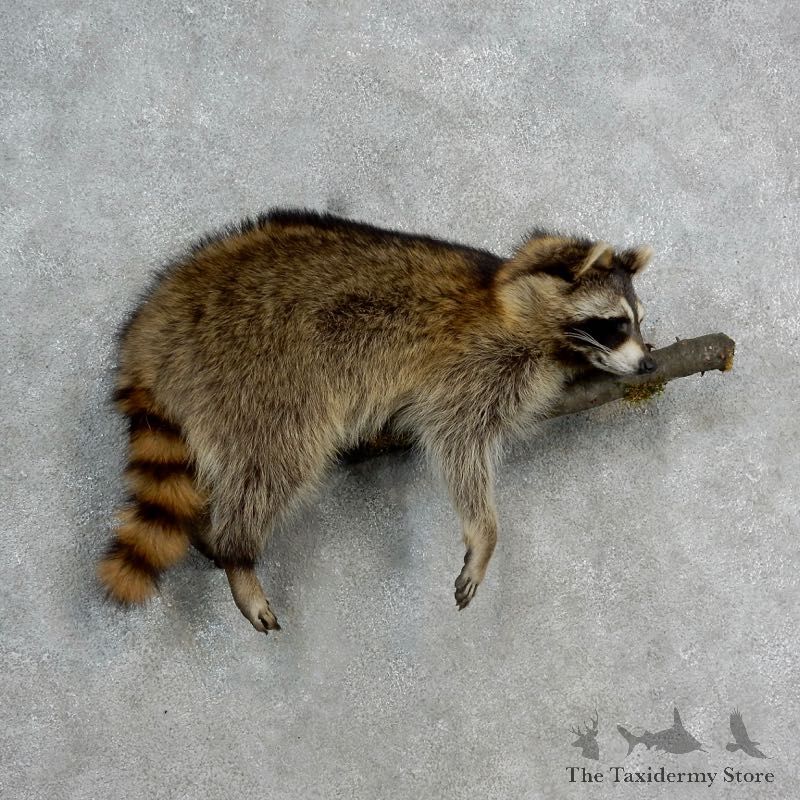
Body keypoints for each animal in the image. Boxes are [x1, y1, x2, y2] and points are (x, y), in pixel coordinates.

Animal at [98, 210, 654, 633]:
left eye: (639, 321)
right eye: (614, 324)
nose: (650, 364)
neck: (511, 301)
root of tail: (149, 336)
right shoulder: (473, 366)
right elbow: (456, 442)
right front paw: (484, 532)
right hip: (257, 371)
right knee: (276, 460)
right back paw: (237, 552)